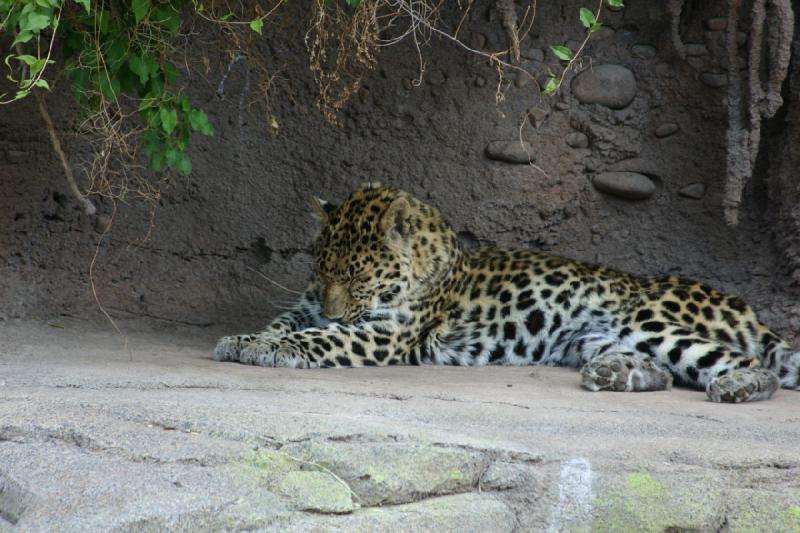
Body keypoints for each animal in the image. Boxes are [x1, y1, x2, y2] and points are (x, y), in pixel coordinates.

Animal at [216, 181, 800, 402]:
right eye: (321, 268)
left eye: (359, 276)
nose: (336, 310)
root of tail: (742, 306)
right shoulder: (308, 305)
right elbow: (286, 323)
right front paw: (244, 340)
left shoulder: (383, 336)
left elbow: (317, 339)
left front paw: (268, 349)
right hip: (594, 337)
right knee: (663, 369)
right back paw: (616, 374)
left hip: (649, 320)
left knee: (751, 364)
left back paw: (740, 387)